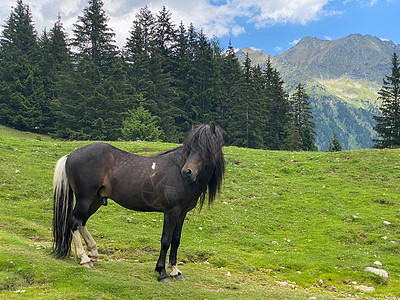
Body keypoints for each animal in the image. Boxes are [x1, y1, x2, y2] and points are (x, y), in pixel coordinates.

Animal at [51, 123, 225, 284]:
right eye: (190, 147)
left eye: (206, 148)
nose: (187, 172)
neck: (178, 172)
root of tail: (71, 155)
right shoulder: (171, 212)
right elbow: (166, 240)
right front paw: (162, 272)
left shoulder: (181, 213)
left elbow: (176, 240)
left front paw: (175, 271)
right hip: (85, 199)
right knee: (75, 222)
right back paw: (84, 259)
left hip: (94, 201)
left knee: (82, 222)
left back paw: (92, 253)